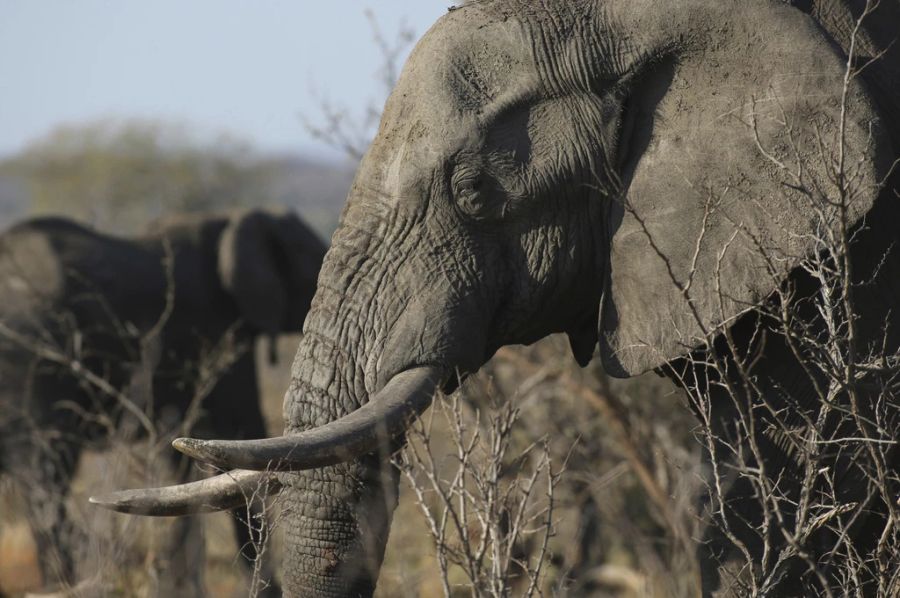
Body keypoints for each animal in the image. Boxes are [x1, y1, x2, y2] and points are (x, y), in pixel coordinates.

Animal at [0, 210, 324, 596]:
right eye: (314, 261)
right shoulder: (219, 330)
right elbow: (240, 431)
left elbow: (183, 459)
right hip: (30, 356)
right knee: (44, 481)